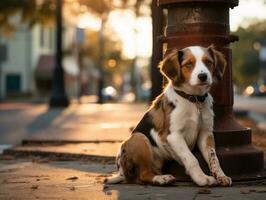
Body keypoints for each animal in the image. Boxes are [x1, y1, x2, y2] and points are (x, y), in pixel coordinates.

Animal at [105, 46, 232, 187]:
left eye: (208, 62)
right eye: (188, 64)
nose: (203, 76)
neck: (194, 100)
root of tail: (122, 173)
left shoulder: (206, 133)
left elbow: (214, 158)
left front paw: (221, 176)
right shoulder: (173, 136)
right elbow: (191, 159)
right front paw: (202, 178)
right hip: (139, 138)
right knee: (143, 175)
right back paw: (162, 179)